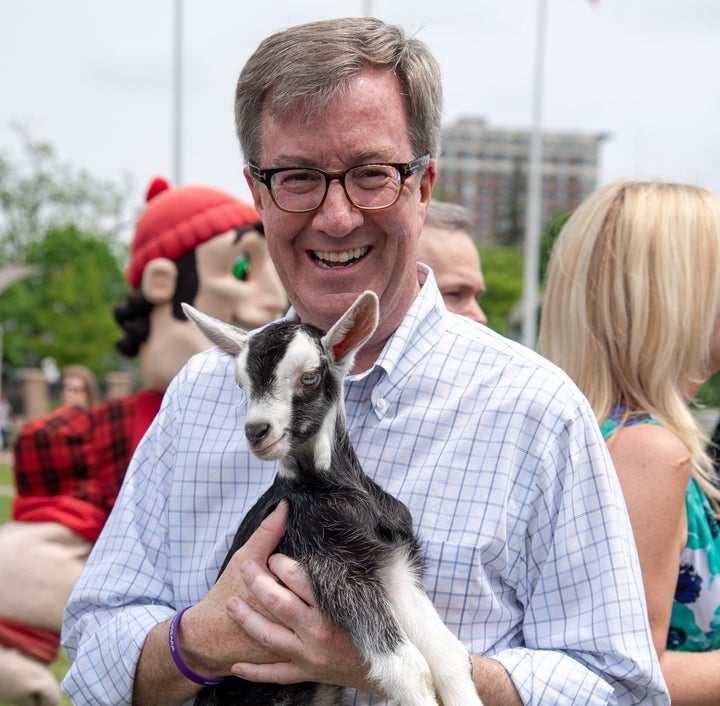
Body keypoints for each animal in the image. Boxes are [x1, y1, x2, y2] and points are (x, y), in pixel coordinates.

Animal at [183, 290, 484, 704]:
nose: (257, 431)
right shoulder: (331, 569)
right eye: (241, 385)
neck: (332, 489)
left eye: (309, 377)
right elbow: (409, 669)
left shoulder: (392, 566)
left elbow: (450, 657)